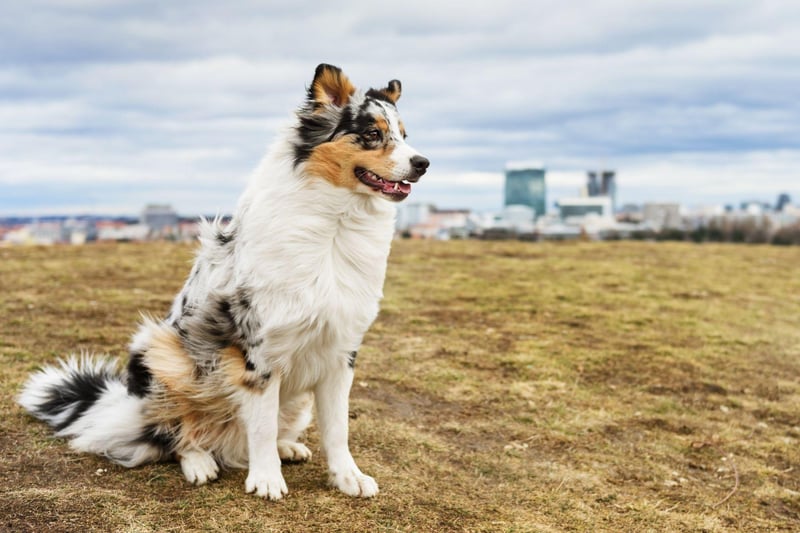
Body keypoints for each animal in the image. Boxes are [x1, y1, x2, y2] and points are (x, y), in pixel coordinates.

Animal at [18, 63, 428, 498]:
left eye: (404, 136)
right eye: (372, 134)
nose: (423, 163)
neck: (337, 222)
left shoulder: (341, 349)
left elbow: (337, 428)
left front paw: (348, 476)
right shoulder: (257, 351)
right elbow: (261, 424)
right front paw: (266, 480)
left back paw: (287, 447)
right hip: (161, 354)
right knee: (174, 434)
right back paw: (200, 461)